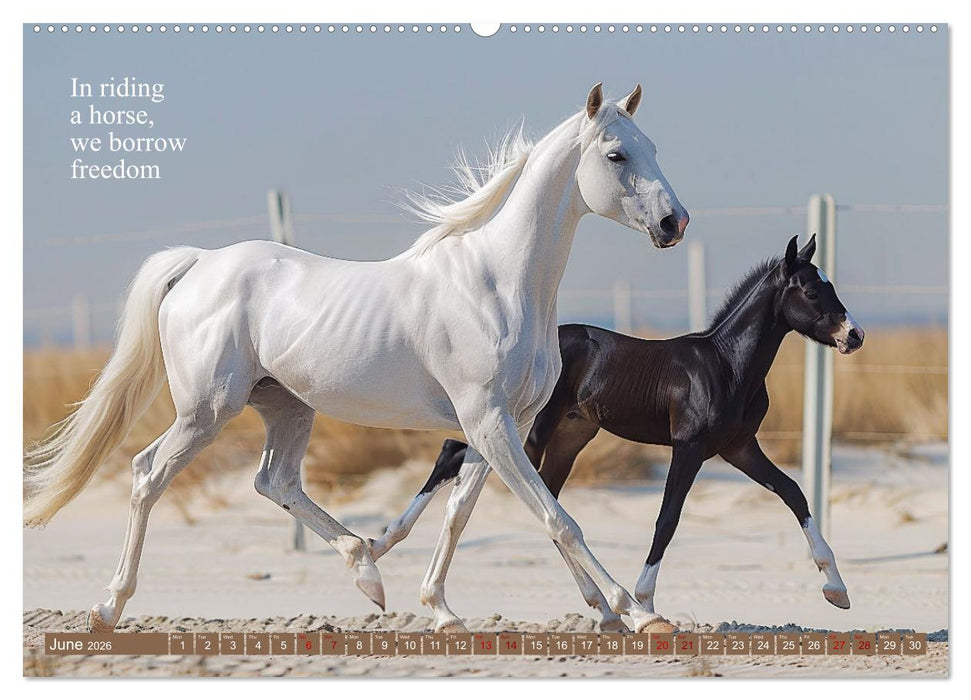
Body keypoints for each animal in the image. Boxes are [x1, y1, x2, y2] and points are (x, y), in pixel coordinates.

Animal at [24, 83, 690, 635]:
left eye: (653, 147)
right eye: (616, 155)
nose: (674, 222)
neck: (500, 284)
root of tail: (200, 263)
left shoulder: (503, 424)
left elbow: (466, 513)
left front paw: (446, 611)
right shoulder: (487, 420)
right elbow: (556, 518)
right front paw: (637, 612)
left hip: (286, 407)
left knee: (273, 480)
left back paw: (366, 567)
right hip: (206, 411)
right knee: (147, 475)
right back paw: (108, 607)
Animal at [369, 235, 864, 631]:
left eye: (830, 285)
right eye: (812, 290)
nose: (855, 335)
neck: (725, 365)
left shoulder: (739, 448)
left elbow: (794, 493)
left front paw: (836, 590)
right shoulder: (689, 447)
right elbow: (667, 519)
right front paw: (644, 600)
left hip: (568, 438)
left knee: (542, 502)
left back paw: (604, 611)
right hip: (525, 430)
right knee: (457, 458)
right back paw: (380, 546)